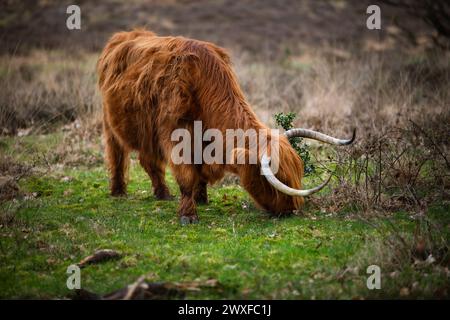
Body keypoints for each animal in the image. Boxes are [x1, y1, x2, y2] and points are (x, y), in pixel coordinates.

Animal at [98, 30, 356, 225]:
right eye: (273, 180)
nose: (291, 209)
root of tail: (127, 34)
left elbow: (199, 173)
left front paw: (201, 198)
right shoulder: (175, 134)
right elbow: (187, 176)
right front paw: (189, 214)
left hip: (146, 132)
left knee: (149, 161)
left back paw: (162, 193)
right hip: (110, 123)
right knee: (117, 156)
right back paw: (119, 191)